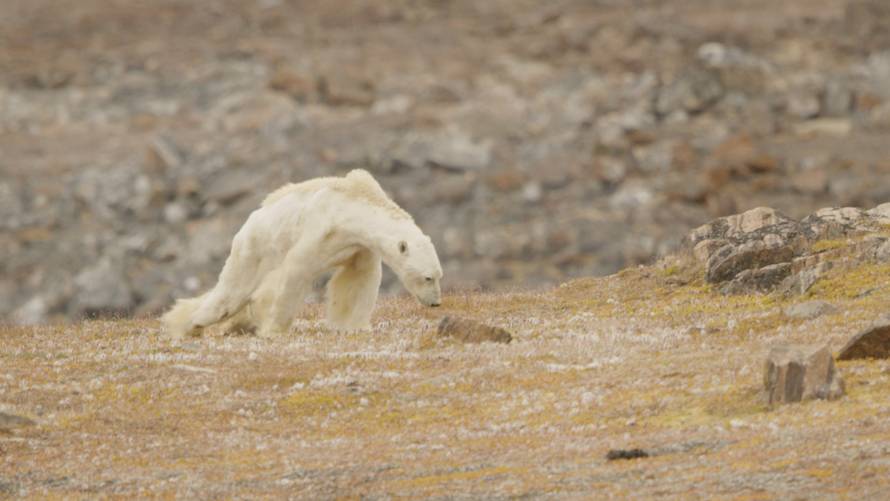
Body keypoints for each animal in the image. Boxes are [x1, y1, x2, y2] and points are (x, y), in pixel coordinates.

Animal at [161, 169, 443, 339]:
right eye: (428, 277)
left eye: (439, 275)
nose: (436, 303)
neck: (353, 206)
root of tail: (248, 222)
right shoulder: (321, 229)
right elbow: (295, 272)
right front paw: (273, 327)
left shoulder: (359, 246)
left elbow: (358, 280)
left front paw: (355, 325)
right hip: (254, 249)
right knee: (230, 294)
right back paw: (190, 324)